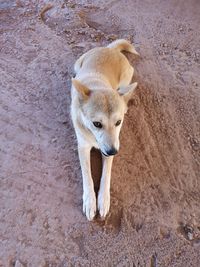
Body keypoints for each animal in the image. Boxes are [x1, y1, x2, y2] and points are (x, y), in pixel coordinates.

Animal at [70, 38, 139, 221]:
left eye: (118, 122)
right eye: (97, 124)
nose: (113, 151)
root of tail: (110, 49)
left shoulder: (112, 144)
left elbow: (106, 174)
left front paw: (103, 199)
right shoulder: (83, 147)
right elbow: (87, 174)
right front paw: (90, 201)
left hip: (127, 78)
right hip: (77, 65)